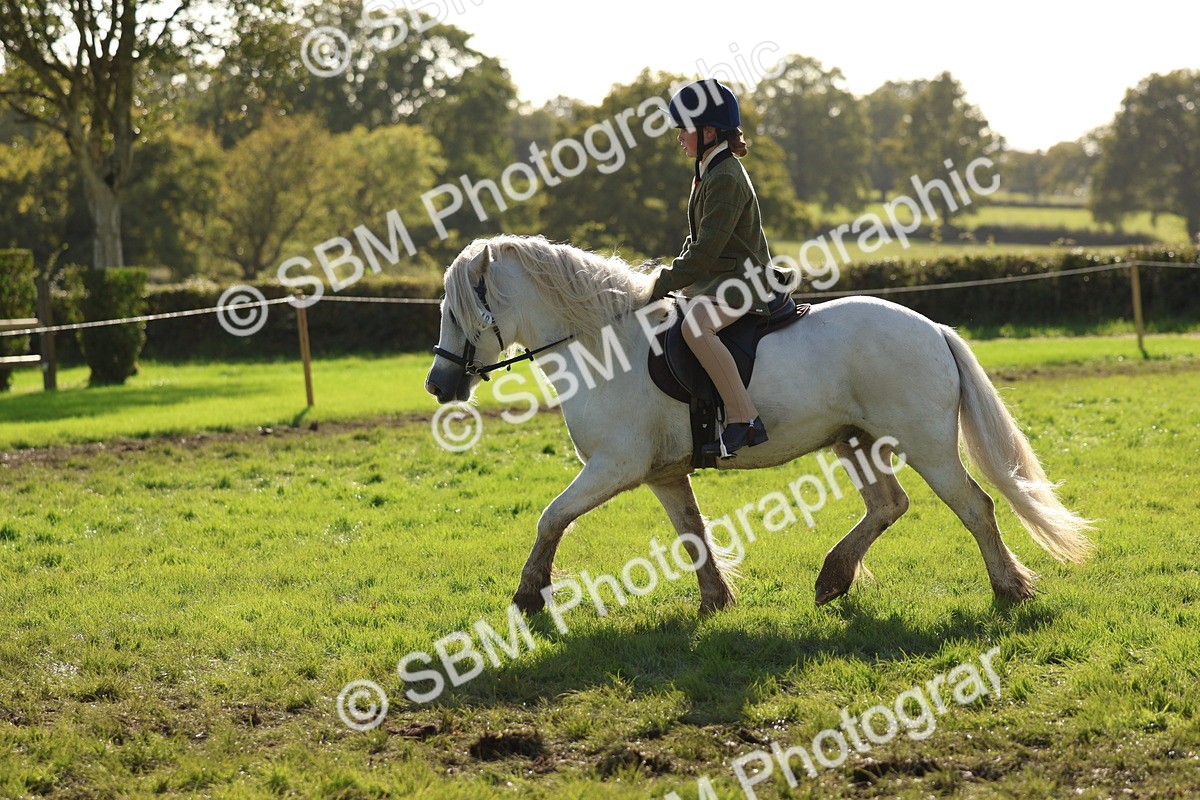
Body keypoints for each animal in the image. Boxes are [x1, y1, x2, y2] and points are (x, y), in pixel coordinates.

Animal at [424, 234, 1093, 615]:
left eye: (457, 310)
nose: (438, 384)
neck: (601, 345)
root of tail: (933, 328)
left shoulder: (615, 466)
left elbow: (551, 516)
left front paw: (528, 594)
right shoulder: (662, 474)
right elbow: (692, 534)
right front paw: (716, 601)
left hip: (925, 444)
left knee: (974, 506)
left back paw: (1010, 589)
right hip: (855, 441)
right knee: (888, 505)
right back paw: (832, 579)